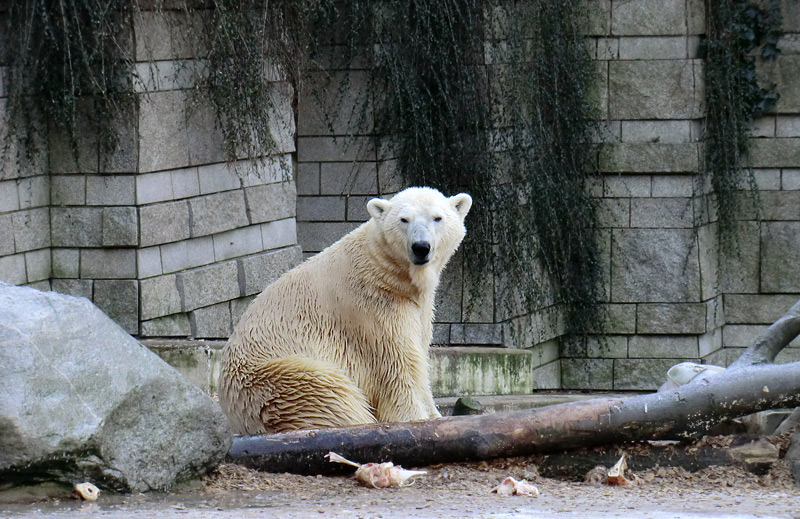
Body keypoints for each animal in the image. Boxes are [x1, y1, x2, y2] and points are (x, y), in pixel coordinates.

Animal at [216, 187, 472, 434]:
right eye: (404, 219)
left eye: (437, 218)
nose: (421, 247)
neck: (383, 270)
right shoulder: (372, 308)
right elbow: (398, 366)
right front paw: (416, 418)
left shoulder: (417, 307)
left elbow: (418, 354)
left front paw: (434, 415)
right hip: (276, 381)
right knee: (332, 396)